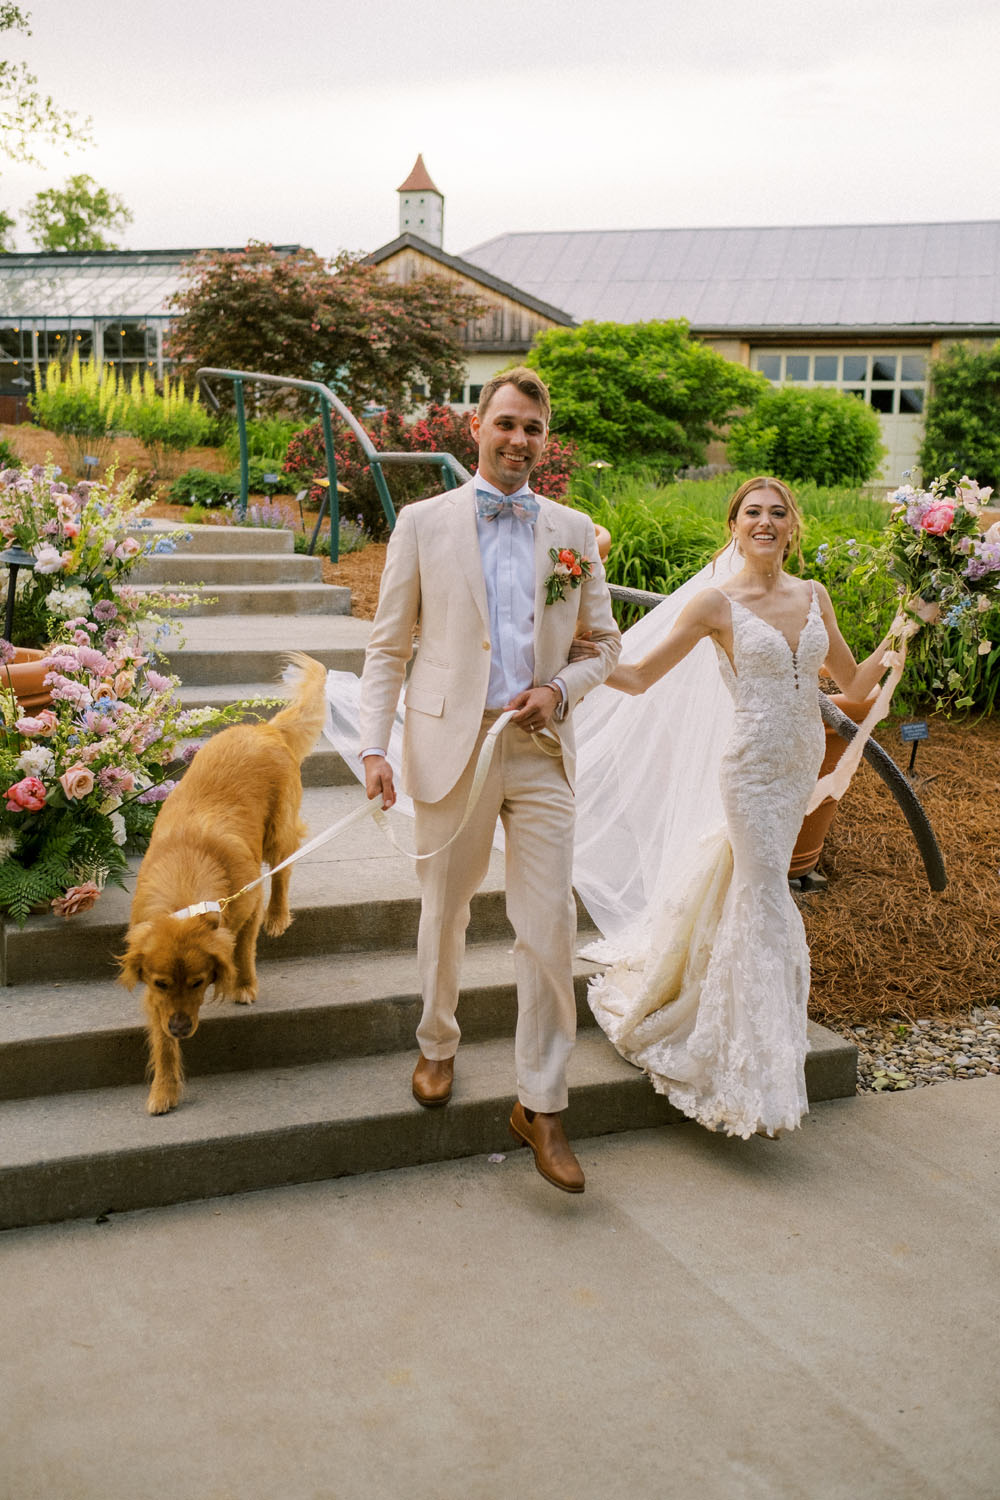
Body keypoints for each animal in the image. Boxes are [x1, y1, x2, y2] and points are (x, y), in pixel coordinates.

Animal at [119, 654, 326, 1116]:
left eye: (198, 982)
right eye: (161, 983)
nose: (181, 1027)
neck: (186, 883)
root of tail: (265, 729)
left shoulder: (247, 903)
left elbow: (243, 948)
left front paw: (243, 984)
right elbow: (160, 1042)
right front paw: (164, 1089)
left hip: (278, 832)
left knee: (283, 871)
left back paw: (279, 916)